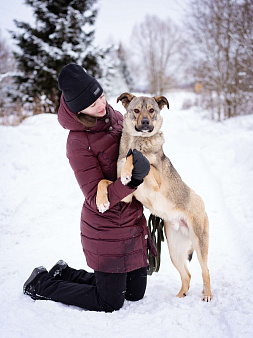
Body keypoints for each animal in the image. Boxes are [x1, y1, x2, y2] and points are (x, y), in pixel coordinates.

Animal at [96, 92, 212, 302]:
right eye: (136, 110)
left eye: (151, 110)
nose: (144, 122)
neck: (138, 140)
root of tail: (201, 202)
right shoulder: (125, 195)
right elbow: (103, 181)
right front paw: (101, 201)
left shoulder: (156, 179)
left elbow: (138, 158)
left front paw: (129, 167)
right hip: (174, 249)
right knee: (187, 275)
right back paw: (180, 296)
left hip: (199, 242)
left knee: (205, 270)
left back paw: (207, 294)